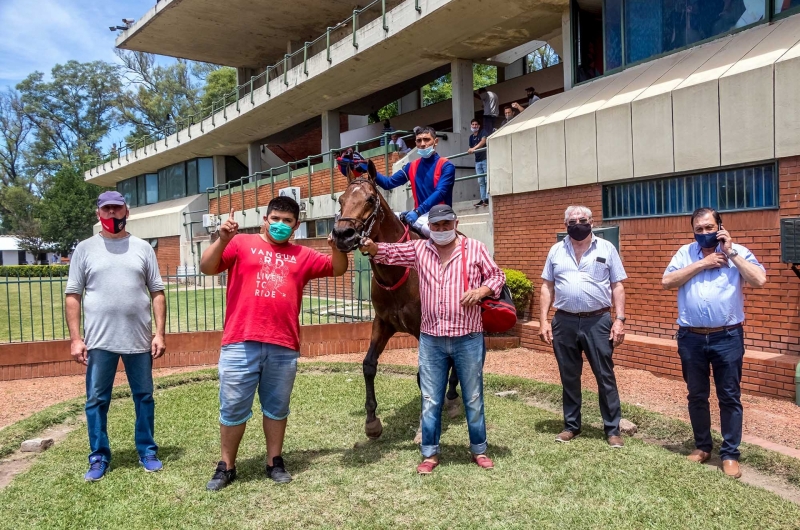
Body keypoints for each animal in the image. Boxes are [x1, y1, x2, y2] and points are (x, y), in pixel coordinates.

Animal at [330, 160, 456, 438]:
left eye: (369, 199)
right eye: (341, 200)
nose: (342, 234)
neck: (400, 271)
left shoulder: (423, 329)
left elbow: (425, 375)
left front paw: (423, 425)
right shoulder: (383, 323)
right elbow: (368, 365)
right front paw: (372, 422)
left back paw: (452, 394)